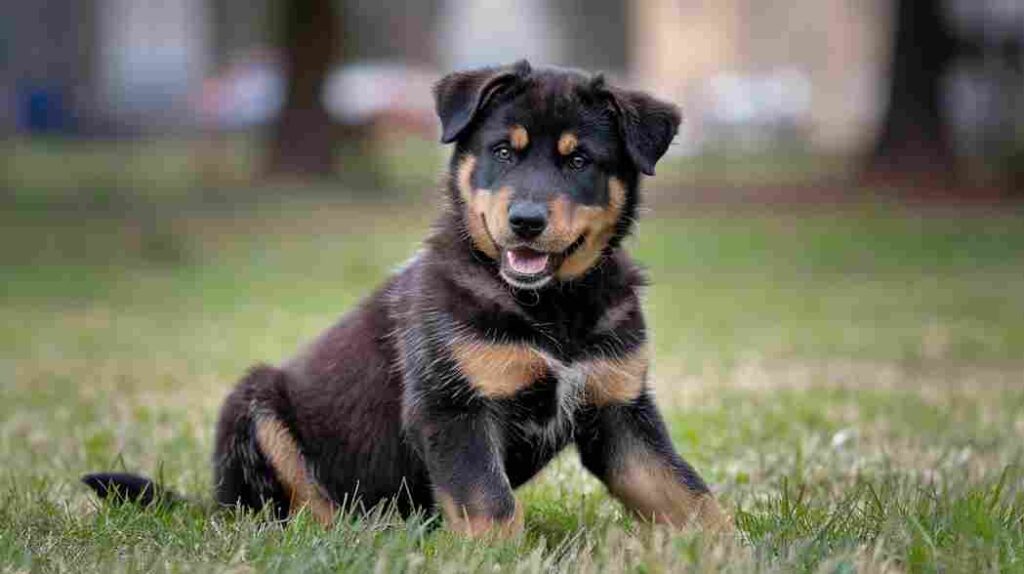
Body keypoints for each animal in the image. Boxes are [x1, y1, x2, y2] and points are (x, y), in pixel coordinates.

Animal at [83, 60, 733, 536]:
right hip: (255, 405)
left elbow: (686, 491)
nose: (525, 222)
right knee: (291, 510)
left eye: (579, 160)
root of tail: (215, 503)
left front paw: (732, 548)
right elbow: (490, 505)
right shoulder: (453, 407)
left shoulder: (620, 411)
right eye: (503, 151)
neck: (551, 307)